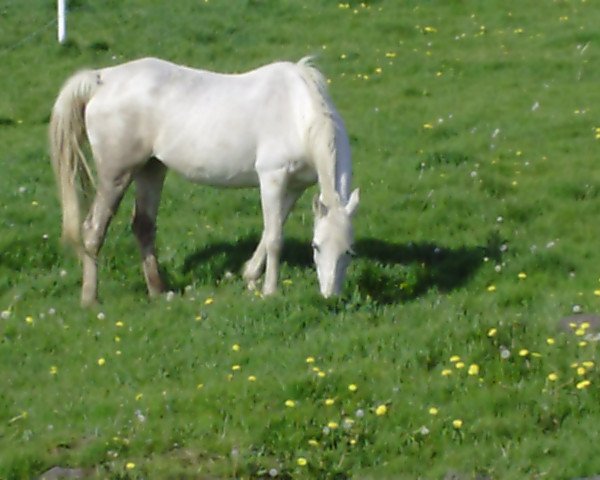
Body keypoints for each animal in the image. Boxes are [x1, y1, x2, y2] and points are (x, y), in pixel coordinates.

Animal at [49, 55, 358, 304]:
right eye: (316, 247)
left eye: (349, 252)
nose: (330, 297)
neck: (297, 113)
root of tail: (103, 78)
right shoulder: (272, 178)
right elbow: (274, 238)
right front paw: (269, 290)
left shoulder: (295, 187)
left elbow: (272, 228)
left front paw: (249, 276)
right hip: (116, 174)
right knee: (93, 229)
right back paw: (90, 299)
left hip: (151, 169)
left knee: (143, 226)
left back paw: (159, 292)